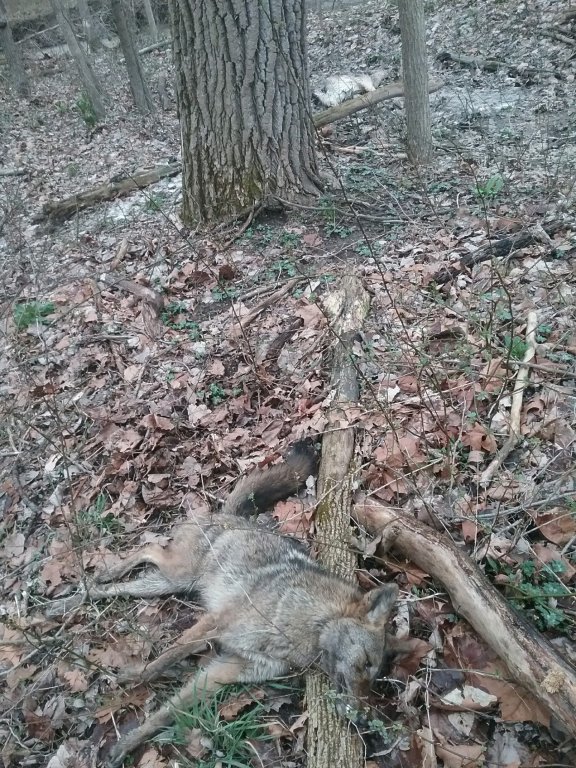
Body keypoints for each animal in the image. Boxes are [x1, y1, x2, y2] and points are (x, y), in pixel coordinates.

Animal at [46, 440, 400, 767]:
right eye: (366, 663)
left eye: (374, 681)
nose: (361, 719)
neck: (307, 625)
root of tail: (229, 515)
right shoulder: (214, 623)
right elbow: (162, 662)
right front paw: (132, 678)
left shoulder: (222, 671)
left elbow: (165, 713)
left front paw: (126, 744)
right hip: (178, 574)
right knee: (148, 549)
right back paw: (99, 577)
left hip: (165, 584)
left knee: (124, 583)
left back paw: (76, 598)